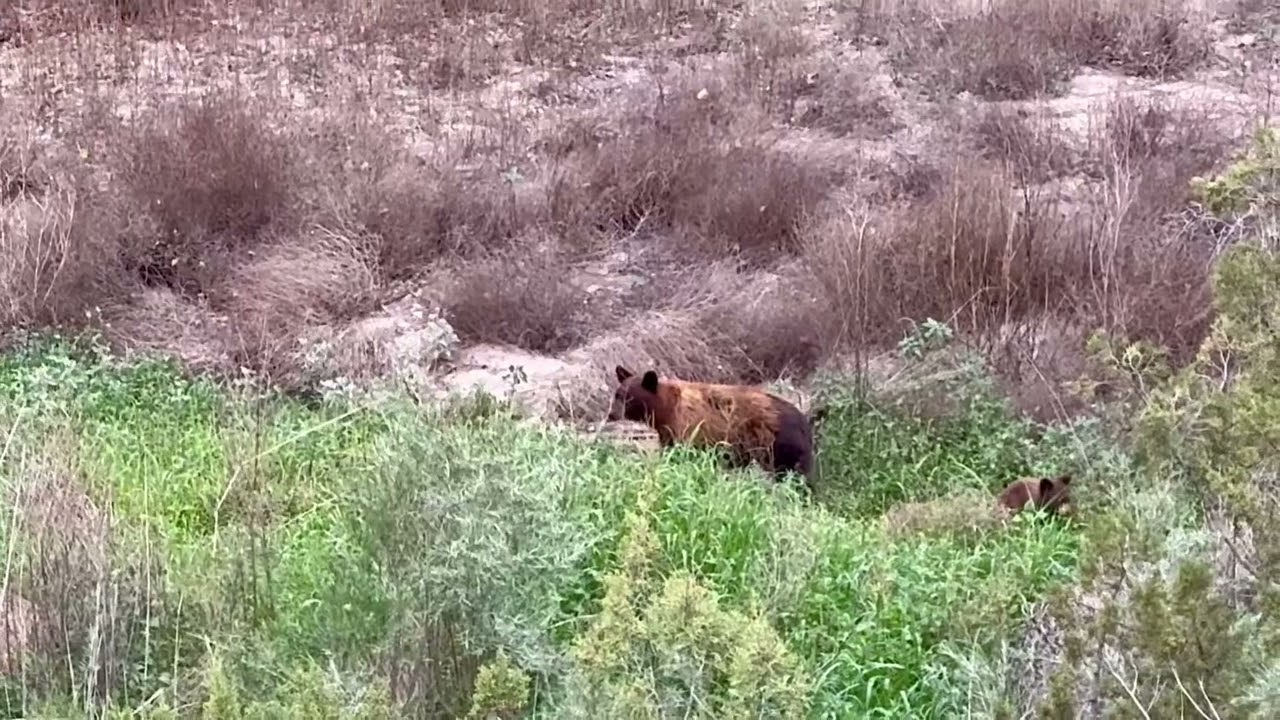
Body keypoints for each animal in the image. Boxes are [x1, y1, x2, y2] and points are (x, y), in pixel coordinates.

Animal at [607, 365, 815, 486]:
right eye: (617, 394)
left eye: (628, 397)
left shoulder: (688, 429)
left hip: (778, 446)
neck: (665, 409)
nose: (611, 414)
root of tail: (803, 422)